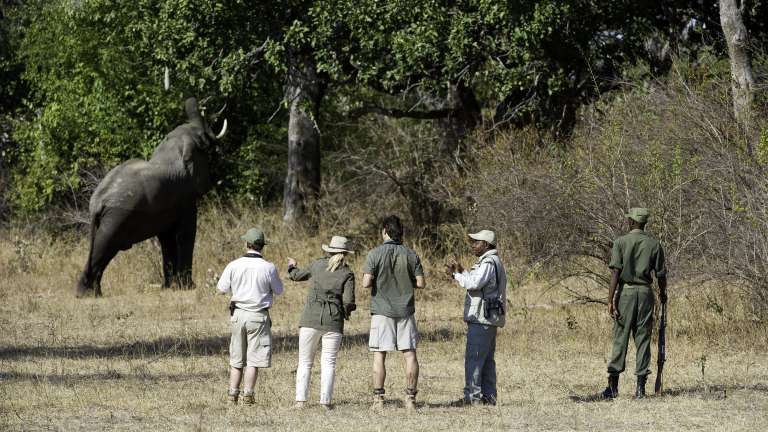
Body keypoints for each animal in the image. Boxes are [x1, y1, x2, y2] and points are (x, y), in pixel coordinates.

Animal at [75, 97, 226, 297]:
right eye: (204, 141)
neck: (173, 149)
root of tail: (97, 202)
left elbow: (167, 240)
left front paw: (170, 287)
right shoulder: (185, 199)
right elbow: (186, 234)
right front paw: (188, 287)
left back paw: (92, 293)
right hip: (116, 217)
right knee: (104, 248)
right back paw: (88, 294)